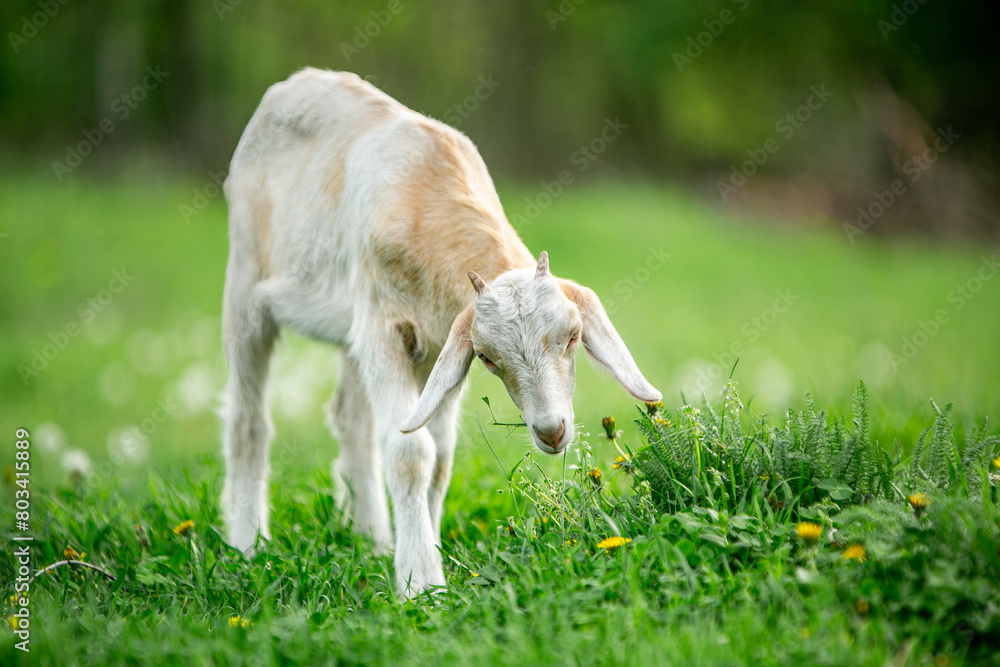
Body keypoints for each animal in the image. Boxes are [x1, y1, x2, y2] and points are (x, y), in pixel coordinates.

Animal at [221, 68, 661, 597]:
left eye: (573, 337)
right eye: (490, 358)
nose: (551, 431)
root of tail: (293, 83)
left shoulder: (436, 347)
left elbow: (442, 458)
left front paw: (424, 552)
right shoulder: (383, 329)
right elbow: (412, 453)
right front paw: (420, 581)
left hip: (353, 332)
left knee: (351, 419)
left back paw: (372, 539)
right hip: (246, 278)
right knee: (248, 420)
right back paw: (247, 544)